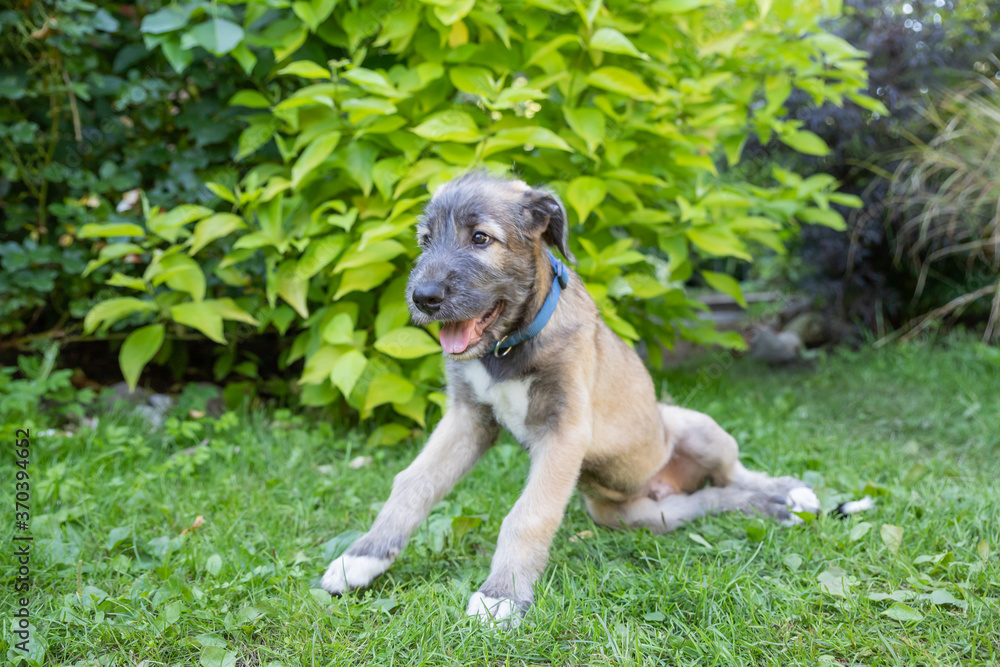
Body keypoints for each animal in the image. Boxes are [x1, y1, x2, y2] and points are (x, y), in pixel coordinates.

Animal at [322, 171, 820, 628]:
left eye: (481, 238)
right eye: (425, 241)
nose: (423, 297)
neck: (508, 348)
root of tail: (667, 484)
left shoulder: (564, 429)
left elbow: (528, 514)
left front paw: (501, 595)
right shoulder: (468, 419)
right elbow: (413, 483)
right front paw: (362, 557)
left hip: (699, 429)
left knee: (737, 473)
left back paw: (787, 493)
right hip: (638, 514)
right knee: (711, 498)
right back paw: (766, 505)